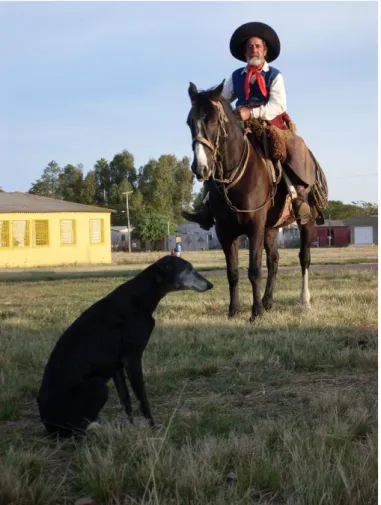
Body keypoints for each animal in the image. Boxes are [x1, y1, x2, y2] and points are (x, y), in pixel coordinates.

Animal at [37, 258, 212, 436]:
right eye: (189, 269)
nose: (210, 285)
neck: (140, 294)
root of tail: (48, 425)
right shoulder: (132, 359)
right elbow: (142, 400)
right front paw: (153, 428)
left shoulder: (117, 367)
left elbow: (125, 400)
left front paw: (130, 428)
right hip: (98, 387)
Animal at [186, 80, 326, 320]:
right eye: (189, 122)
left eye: (212, 120)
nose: (200, 167)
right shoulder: (225, 231)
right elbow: (233, 272)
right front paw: (234, 310)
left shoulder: (255, 227)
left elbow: (254, 270)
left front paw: (255, 312)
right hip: (271, 228)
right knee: (274, 260)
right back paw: (268, 301)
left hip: (305, 221)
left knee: (304, 257)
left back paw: (304, 300)